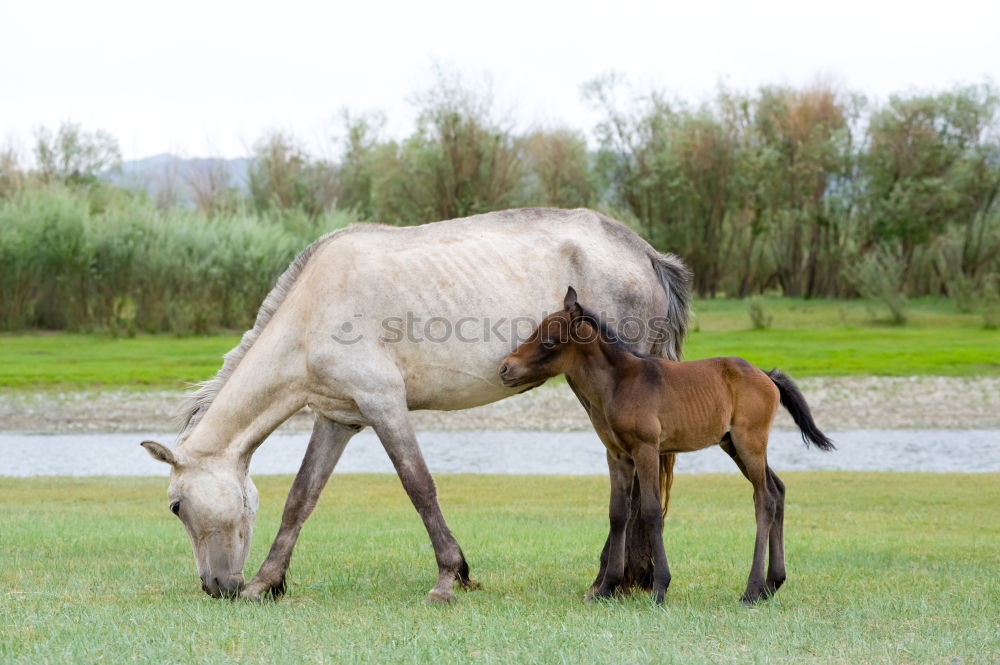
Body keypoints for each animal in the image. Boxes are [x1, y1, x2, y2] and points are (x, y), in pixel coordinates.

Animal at [139, 208, 696, 600]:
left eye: (175, 506)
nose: (215, 587)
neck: (313, 311)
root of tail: (645, 253)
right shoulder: (338, 418)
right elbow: (302, 497)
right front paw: (266, 583)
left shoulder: (384, 405)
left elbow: (419, 486)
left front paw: (450, 578)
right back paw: (623, 579)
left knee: (628, 478)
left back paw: (612, 580)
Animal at [500, 286, 836, 600]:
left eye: (549, 340)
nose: (505, 368)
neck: (619, 383)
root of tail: (766, 375)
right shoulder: (616, 454)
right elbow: (617, 513)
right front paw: (605, 588)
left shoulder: (646, 449)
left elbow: (650, 511)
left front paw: (660, 587)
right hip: (733, 445)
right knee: (777, 489)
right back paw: (772, 584)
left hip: (749, 442)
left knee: (764, 498)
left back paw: (751, 591)